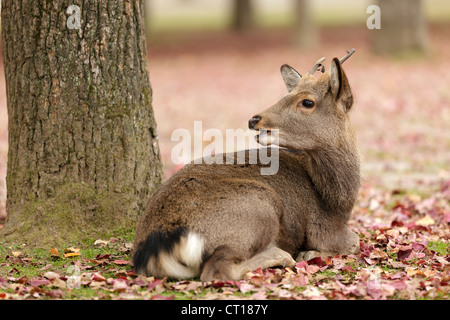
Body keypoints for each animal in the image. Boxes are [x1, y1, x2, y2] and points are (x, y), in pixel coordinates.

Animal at [132, 48, 360, 282]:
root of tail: (157, 246)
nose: (254, 120)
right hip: (258, 207)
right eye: (286, 96)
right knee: (216, 269)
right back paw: (280, 255)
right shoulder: (324, 228)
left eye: (307, 102)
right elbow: (354, 242)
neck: (337, 201)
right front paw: (310, 253)